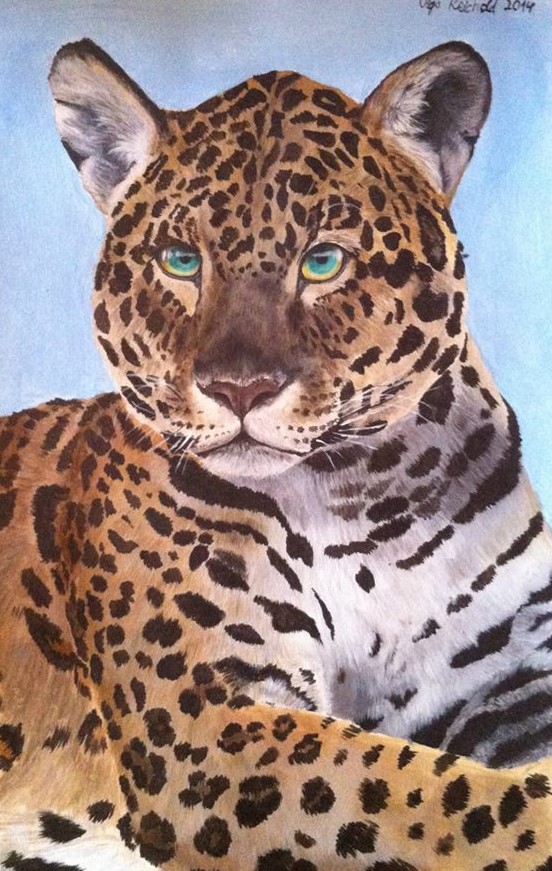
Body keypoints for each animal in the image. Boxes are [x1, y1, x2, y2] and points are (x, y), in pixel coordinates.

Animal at [1, 37, 551, 871]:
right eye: (180, 260)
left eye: (322, 261)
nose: (240, 387)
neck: (363, 497)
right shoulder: (204, 723)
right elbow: (436, 795)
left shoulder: (513, 680)